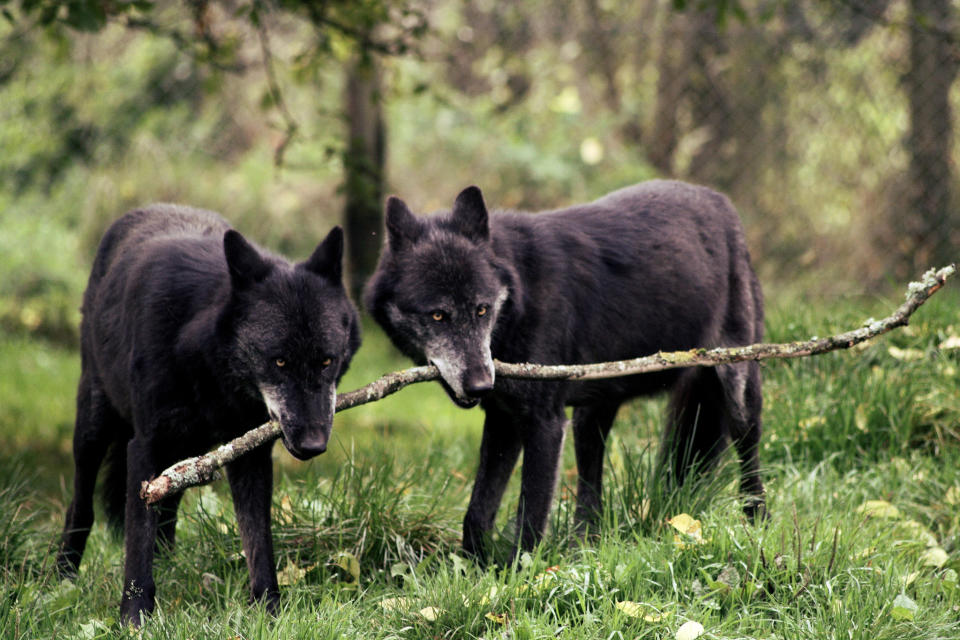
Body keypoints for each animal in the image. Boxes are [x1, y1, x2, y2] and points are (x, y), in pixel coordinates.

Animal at [57, 206, 364, 624]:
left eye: (327, 361)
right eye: (279, 362)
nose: (314, 445)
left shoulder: (249, 452)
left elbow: (258, 538)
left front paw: (268, 611)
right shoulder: (145, 446)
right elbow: (138, 538)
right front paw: (134, 618)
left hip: (184, 453)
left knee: (168, 514)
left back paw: (170, 567)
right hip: (94, 428)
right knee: (81, 505)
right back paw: (63, 577)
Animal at [368, 180, 764, 560]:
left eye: (481, 310)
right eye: (438, 315)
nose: (481, 385)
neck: (519, 303)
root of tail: (720, 200)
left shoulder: (545, 421)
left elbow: (530, 518)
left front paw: (517, 577)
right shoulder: (503, 419)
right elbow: (477, 513)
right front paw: (472, 569)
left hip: (738, 392)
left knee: (750, 458)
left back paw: (756, 523)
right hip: (590, 417)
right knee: (590, 495)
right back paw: (582, 550)